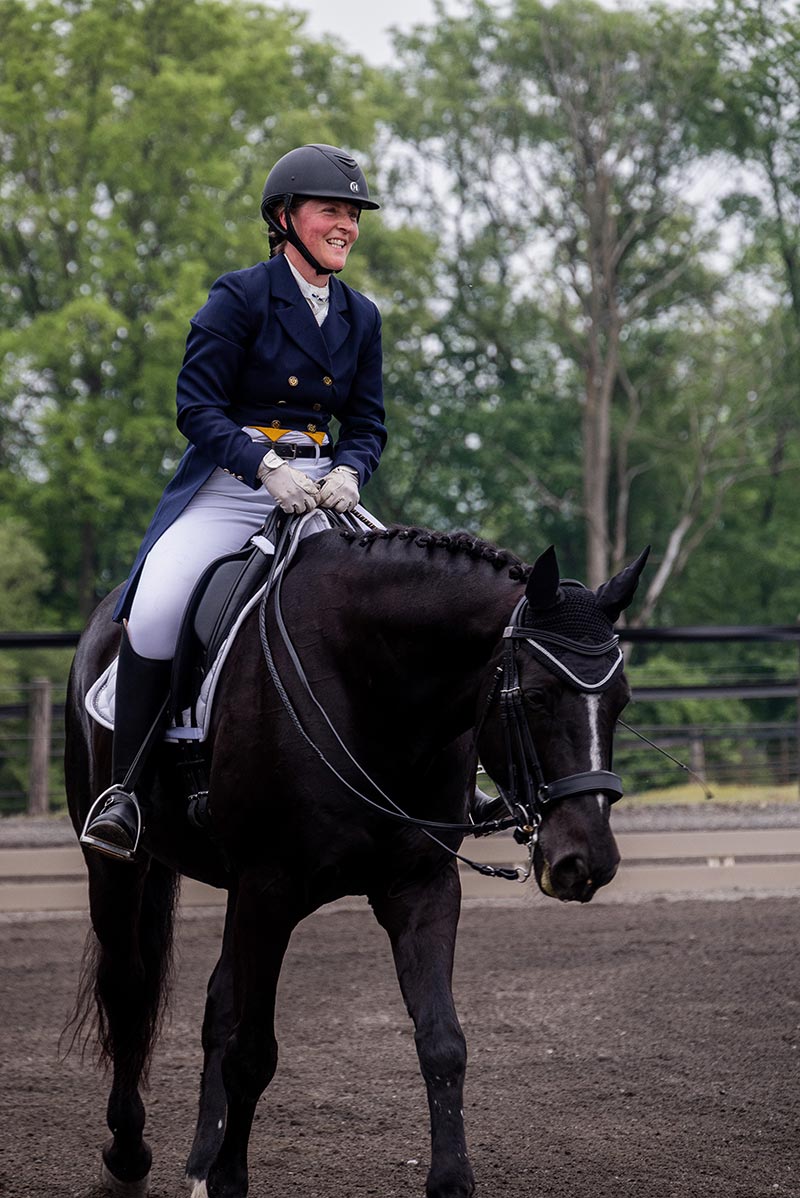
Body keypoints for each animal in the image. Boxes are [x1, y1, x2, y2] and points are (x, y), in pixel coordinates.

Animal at [64, 524, 648, 1198]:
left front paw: (451, 1181)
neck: (371, 691)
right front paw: (231, 1180)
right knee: (128, 988)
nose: (587, 861)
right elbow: (251, 1053)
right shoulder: (270, 888)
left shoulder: (420, 886)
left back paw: (201, 1162)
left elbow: (442, 1041)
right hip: (120, 866)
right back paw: (128, 1159)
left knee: (217, 1002)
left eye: (622, 701)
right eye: (535, 695)